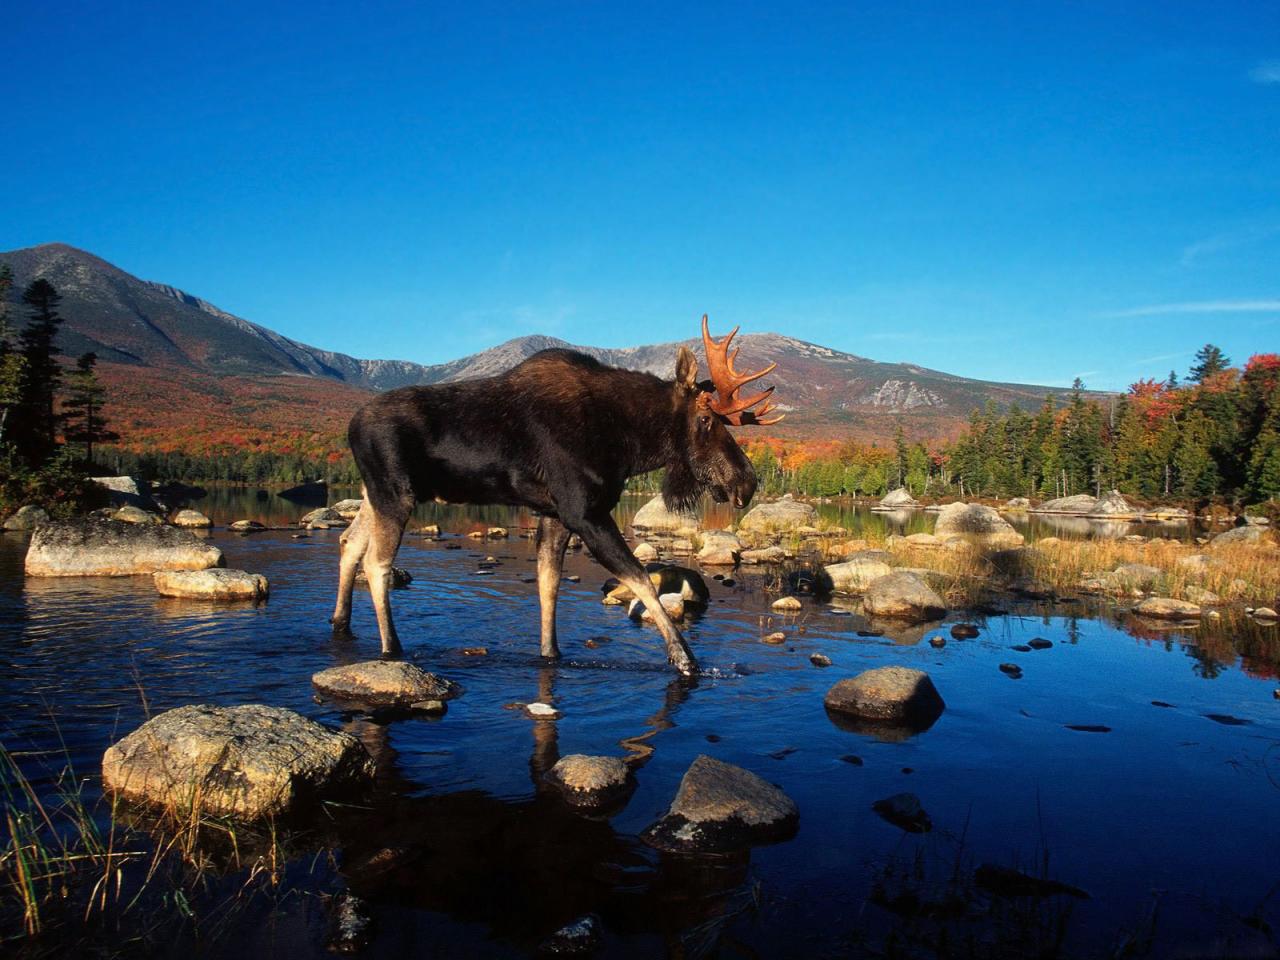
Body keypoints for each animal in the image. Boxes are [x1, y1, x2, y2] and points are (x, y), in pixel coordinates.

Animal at [330, 317, 778, 675]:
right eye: (705, 419)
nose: (746, 481)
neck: (628, 442)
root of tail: (349, 426)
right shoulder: (585, 511)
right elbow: (641, 581)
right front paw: (684, 658)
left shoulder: (554, 514)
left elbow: (549, 585)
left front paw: (550, 653)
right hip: (396, 494)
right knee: (376, 563)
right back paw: (391, 647)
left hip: (374, 494)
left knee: (349, 541)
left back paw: (340, 622)